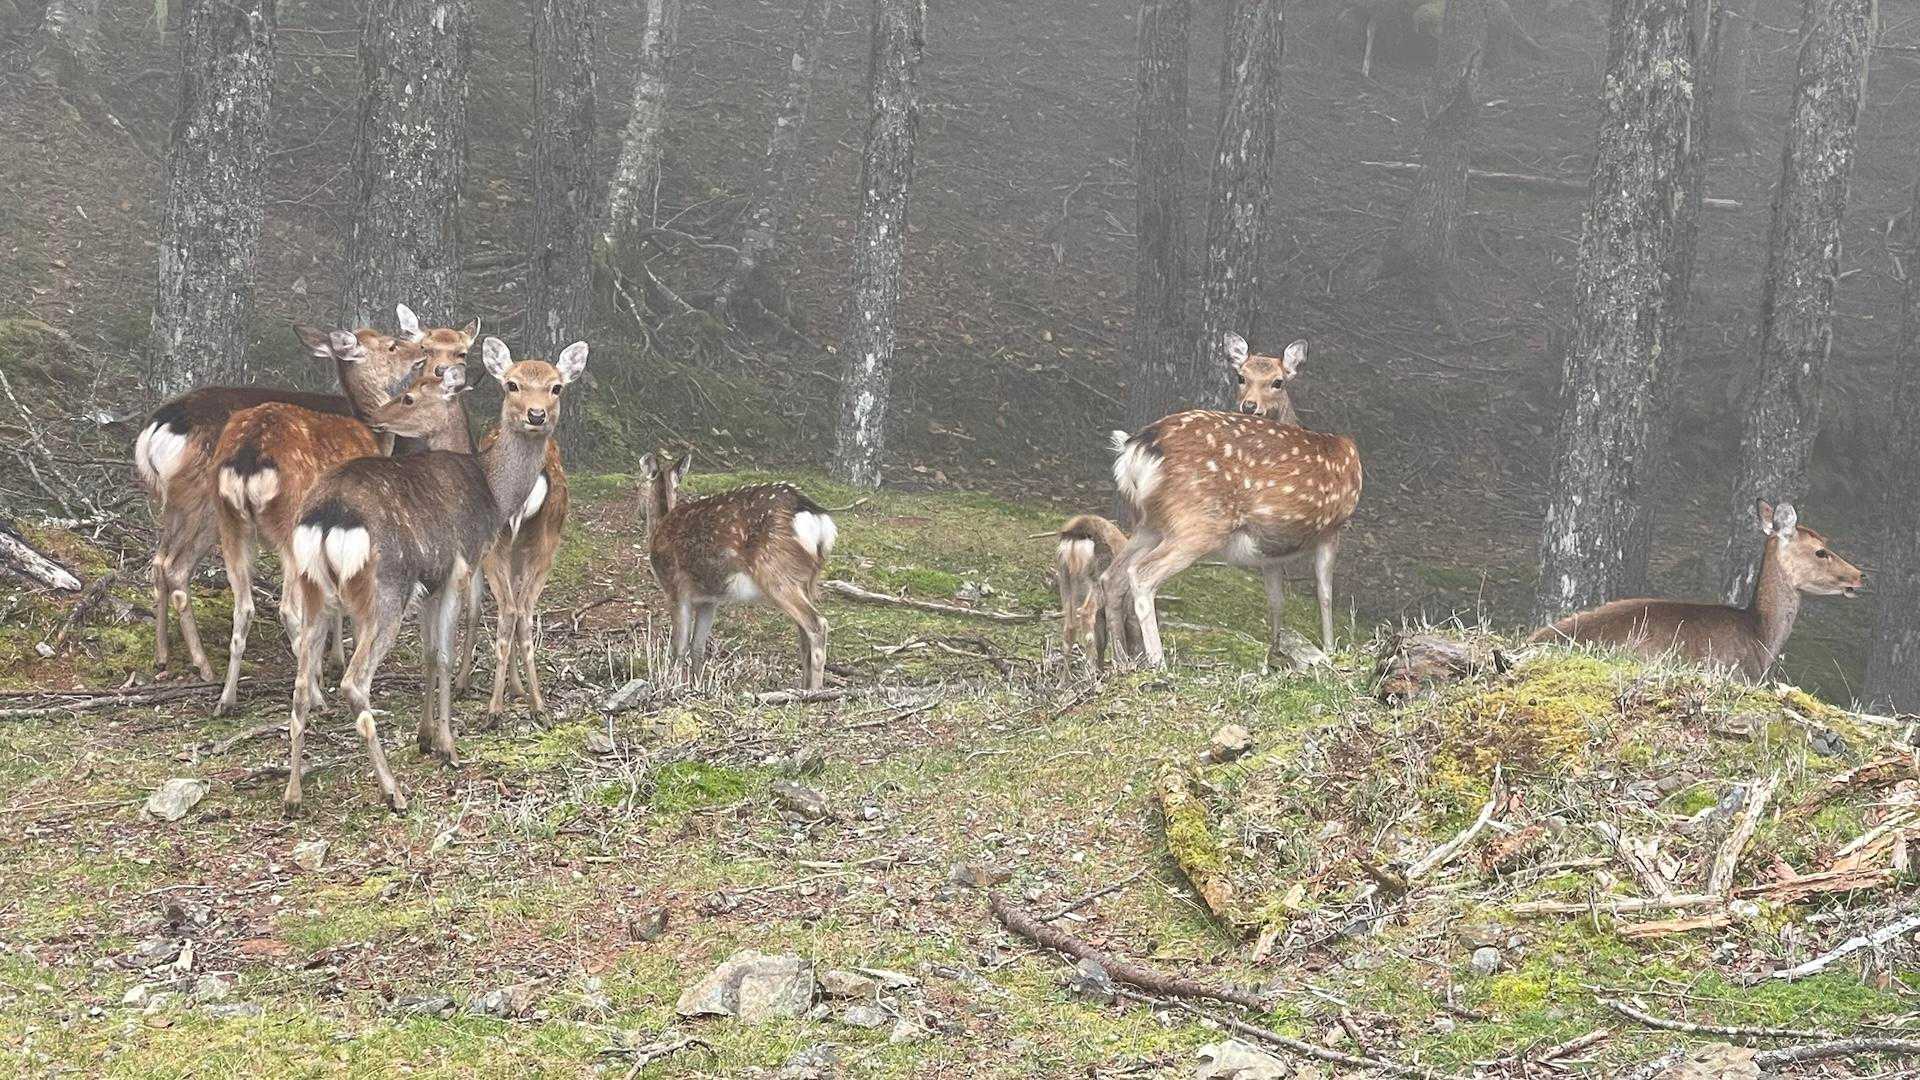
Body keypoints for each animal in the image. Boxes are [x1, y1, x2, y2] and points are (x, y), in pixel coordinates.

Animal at [135, 322, 429, 680]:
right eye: (391, 345)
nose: (422, 352)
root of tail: (156, 429)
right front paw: (336, 658)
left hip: (176, 504)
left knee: (160, 562)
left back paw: (163, 655)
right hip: (204, 502)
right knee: (178, 568)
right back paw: (205, 665)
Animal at [209, 356, 472, 716]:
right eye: (394, 350)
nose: (424, 358)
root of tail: (248, 455)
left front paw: (335, 659)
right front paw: (339, 664)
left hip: (229, 523)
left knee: (245, 606)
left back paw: (227, 698)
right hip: (291, 528)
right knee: (288, 609)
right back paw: (316, 695)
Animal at [283, 338, 587, 814]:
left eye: (557, 387)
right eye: (512, 384)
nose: (536, 415)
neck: (492, 491)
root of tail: (327, 518)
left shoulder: (430, 581)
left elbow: (428, 654)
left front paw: (425, 738)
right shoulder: (459, 566)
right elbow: (444, 654)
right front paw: (448, 746)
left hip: (312, 586)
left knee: (298, 687)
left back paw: (293, 795)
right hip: (386, 589)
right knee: (354, 681)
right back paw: (393, 791)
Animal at [639, 453, 836, 690]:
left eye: (638, 484)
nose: (640, 512)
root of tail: (818, 521)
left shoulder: (676, 588)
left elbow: (678, 648)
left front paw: (673, 686)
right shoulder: (708, 599)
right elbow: (697, 648)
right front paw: (697, 686)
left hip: (775, 572)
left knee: (818, 625)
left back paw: (815, 690)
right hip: (807, 580)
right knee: (804, 634)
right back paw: (804, 688)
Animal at [1101, 376, 1364, 670]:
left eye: (1276, 383)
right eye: (1243, 379)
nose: (1250, 406)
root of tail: (1136, 448)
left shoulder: (1270, 551)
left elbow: (1276, 600)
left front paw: (1276, 651)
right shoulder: (1332, 529)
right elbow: (1324, 592)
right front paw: (1330, 650)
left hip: (1151, 524)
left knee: (1112, 576)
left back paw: (1120, 661)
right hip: (1200, 523)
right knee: (1142, 574)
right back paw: (1159, 663)